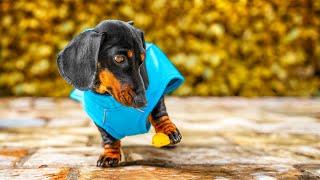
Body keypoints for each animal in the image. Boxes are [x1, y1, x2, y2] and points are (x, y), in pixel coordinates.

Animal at [56, 20, 184, 167]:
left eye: (142, 61)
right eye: (119, 58)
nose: (142, 102)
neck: (109, 97)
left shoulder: (158, 93)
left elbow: (158, 111)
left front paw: (167, 130)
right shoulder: (101, 120)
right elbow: (108, 137)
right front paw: (110, 154)